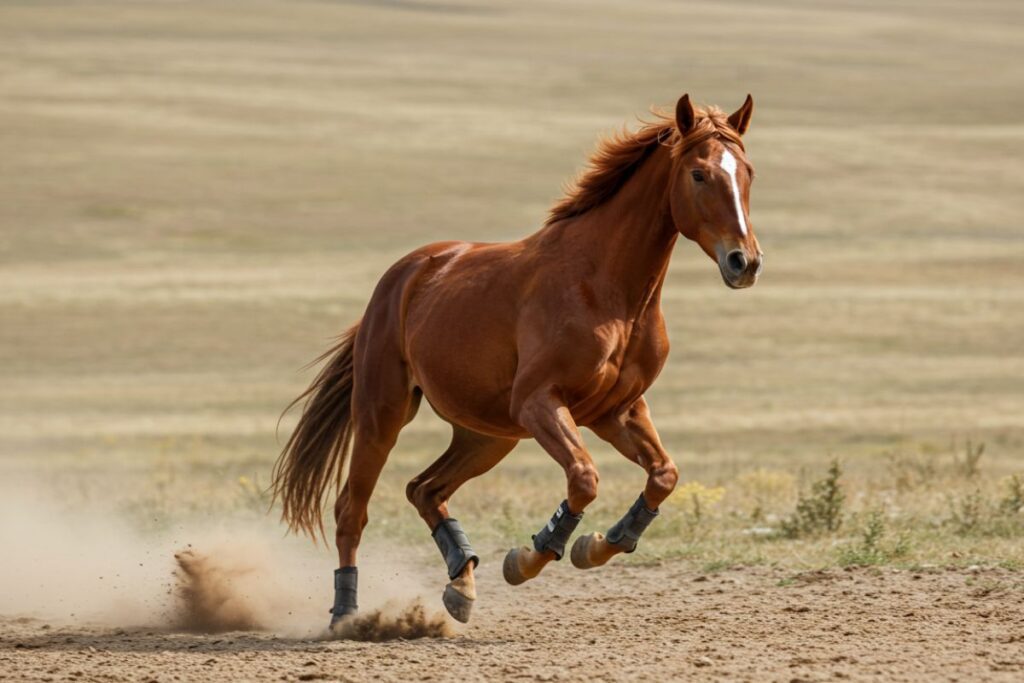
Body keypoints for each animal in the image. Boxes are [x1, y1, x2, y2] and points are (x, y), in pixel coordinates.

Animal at [272, 93, 763, 626]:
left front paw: (598, 545)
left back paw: (461, 584)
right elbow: (584, 478)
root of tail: (402, 277)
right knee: (351, 509)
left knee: (425, 489)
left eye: (748, 172)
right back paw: (347, 612)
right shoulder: (539, 402)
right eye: (699, 174)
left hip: (489, 435)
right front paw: (530, 557)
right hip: (384, 414)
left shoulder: (617, 411)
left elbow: (663, 475)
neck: (608, 289)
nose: (744, 262)